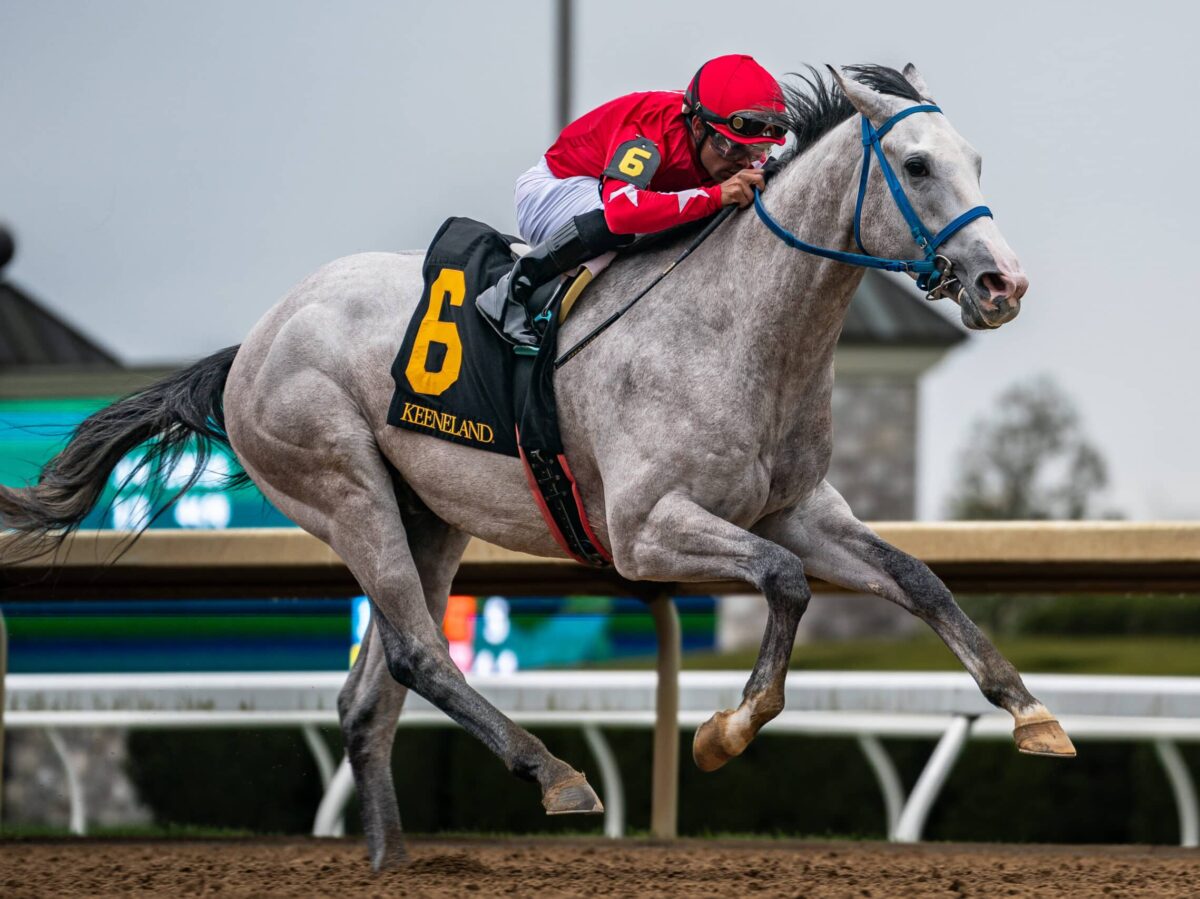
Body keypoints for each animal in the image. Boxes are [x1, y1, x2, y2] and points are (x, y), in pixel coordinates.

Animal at [0, 64, 1070, 868]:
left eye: (975, 159)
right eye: (917, 164)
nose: (1003, 283)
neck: (742, 329)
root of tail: (251, 343)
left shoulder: (797, 508)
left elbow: (918, 579)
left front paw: (1033, 714)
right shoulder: (647, 531)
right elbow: (784, 582)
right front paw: (727, 729)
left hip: (427, 514)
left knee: (367, 695)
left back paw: (393, 861)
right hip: (343, 487)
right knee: (418, 652)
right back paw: (554, 773)